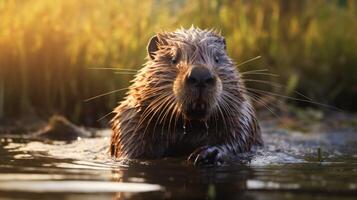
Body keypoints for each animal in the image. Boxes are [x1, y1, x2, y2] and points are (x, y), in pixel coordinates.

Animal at [110, 27, 262, 166]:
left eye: (217, 59)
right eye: (173, 59)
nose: (200, 76)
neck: (190, 126)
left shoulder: (243, 115)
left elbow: (238, 137)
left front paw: (207, 153)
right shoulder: (129, 121)